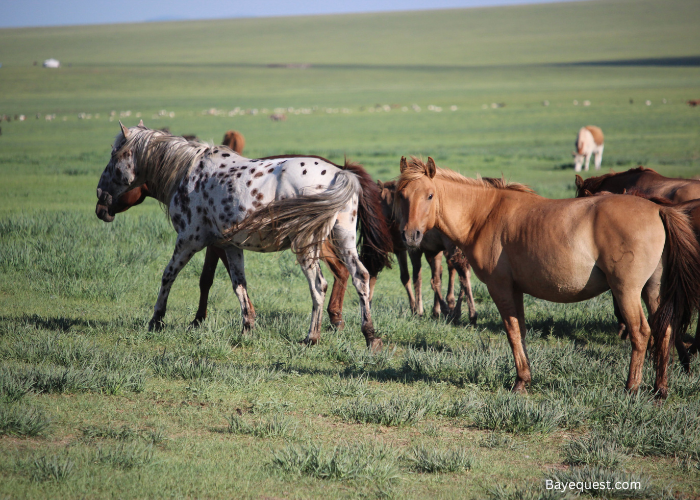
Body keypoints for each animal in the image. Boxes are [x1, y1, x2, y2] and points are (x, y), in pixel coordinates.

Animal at [97, 121, 394, 350]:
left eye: (113, 156)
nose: (100, 203)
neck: (188, 173)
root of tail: (339, 173)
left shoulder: (189, 240)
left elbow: (169, 275)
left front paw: (156, 320)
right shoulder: (229, 246)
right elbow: (239, 284)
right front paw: (247, 327)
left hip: (307, 246)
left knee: (319, 285)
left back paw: (312, 337)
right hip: (343, 239)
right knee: (360, 277)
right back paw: (370, 337)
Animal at [396, 156, 700, 398]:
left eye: (430, 195)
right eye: (402, 195)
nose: (410, 236)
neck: (485, 215)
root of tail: (657, 209)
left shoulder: (500, 287)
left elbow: (512, 332)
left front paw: (520, 382)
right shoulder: (516, 289)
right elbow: (521, 331)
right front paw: (526, 377)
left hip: (626, 291)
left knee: (641, 333)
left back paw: (632, 388)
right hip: (653, 290)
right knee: (664, 331)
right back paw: (660, 389)